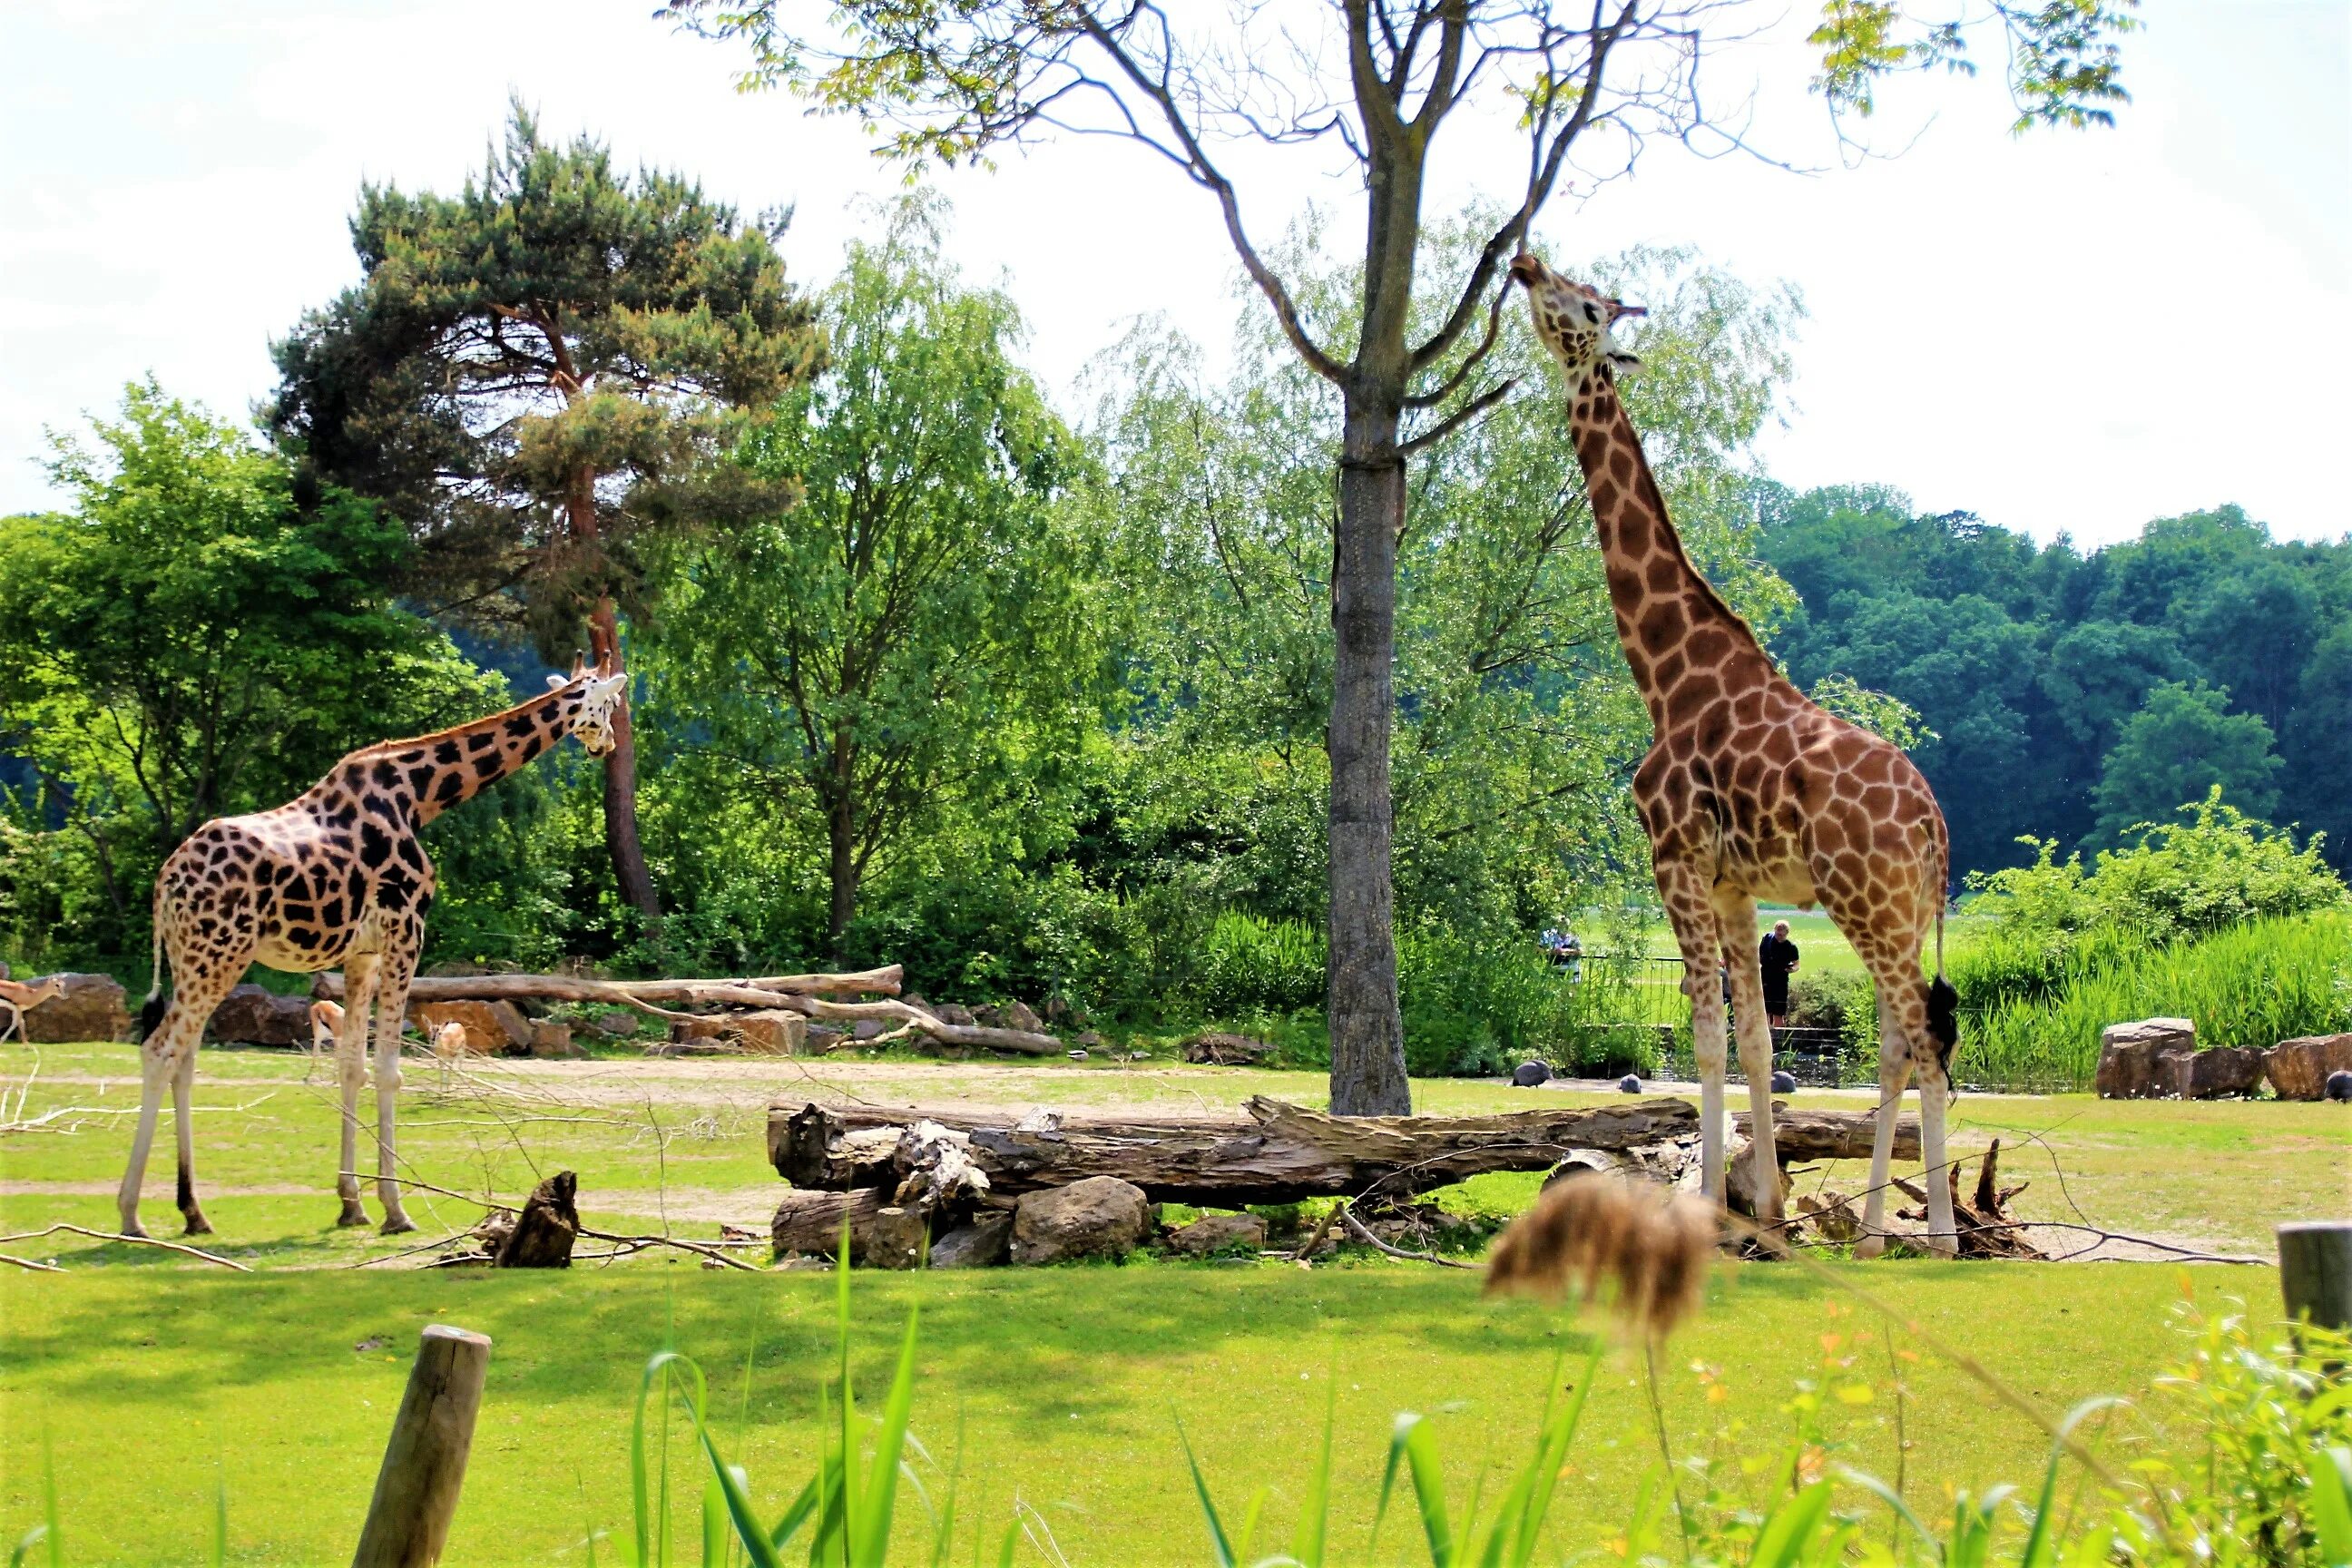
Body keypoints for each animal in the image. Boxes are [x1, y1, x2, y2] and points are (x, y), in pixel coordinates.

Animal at [122, 662, 630, 1240]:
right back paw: (132, 1215)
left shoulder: (359, 955)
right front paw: (395, 1209)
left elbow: (352, 1068)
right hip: (218, 954)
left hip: (191, 959)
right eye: (610, 706)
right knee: (160, 1051)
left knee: (183, 1060)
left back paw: (193, 1211)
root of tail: (165, 884)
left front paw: (351, 1203)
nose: (608, 744)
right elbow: (388, 1070)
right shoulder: (405, 932)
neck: (421, 796)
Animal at [1514, 251, 1956, 1259]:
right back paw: (1878, 1229)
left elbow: (1708, 1037)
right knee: (1896, 1040)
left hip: (1866, 903)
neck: (1666, 677)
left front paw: (1712, 1211)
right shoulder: (1735, 884)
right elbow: (1755, 1039)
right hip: (1901, 912)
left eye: (1584, 303)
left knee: (1920, 1036)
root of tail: (1935, 825)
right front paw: (1769, 1211)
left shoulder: (1674, 859)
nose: (1521, 262)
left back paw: (1937, 1235)